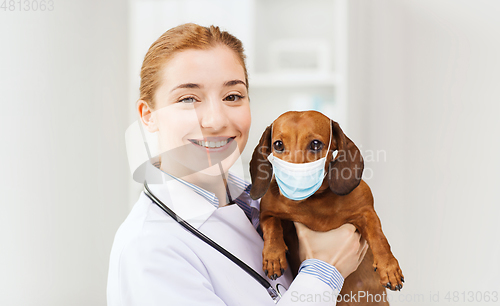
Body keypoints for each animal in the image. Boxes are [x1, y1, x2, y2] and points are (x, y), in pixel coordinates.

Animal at [248, 110, 404, 304]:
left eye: (315, 144)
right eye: (278, 144)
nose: (294, 184)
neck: (315, 200)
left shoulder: (366, 212)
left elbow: (379, 237)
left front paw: (389, 268)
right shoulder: (268, 213)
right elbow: (272, 226)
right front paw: (273, 256)